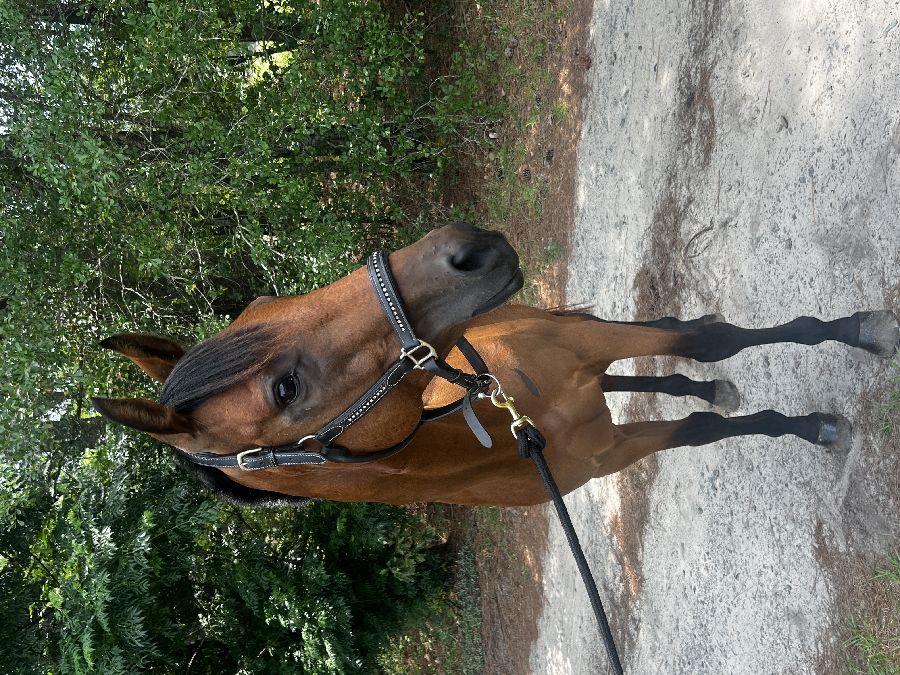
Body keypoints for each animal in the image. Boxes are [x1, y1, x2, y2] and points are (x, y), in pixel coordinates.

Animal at [92, 222, 899, 507]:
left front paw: (858, 331)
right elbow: (700, 426)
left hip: (566, 326)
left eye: (264, 299)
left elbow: (709, 339)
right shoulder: (616, 450)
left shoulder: (586, 345)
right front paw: (814, 426)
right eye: (284, 388)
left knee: (658, 347)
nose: (467, 249)